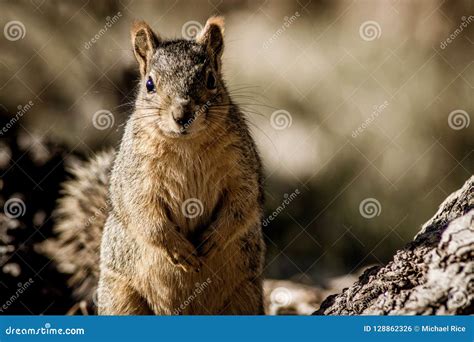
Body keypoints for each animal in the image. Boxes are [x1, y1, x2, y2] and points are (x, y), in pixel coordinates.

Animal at [39, 16, 266, 316]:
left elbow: (242, 203)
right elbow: (144, 214)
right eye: (149, 84)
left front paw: (213, 240)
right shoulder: (136, 175)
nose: (182, 115)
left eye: (211, 79)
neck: (187, 144)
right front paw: (179, 249)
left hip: (244, 297)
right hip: (122, 298)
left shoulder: (242, 166)